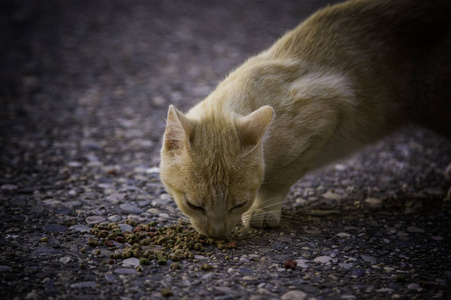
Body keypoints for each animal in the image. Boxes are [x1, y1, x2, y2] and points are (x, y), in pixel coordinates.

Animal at [159, 0, 451, 238]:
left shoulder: (327, 113)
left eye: (239, 204)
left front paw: (263, 211)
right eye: (194, 205)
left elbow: (279, 179)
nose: (218, 235)